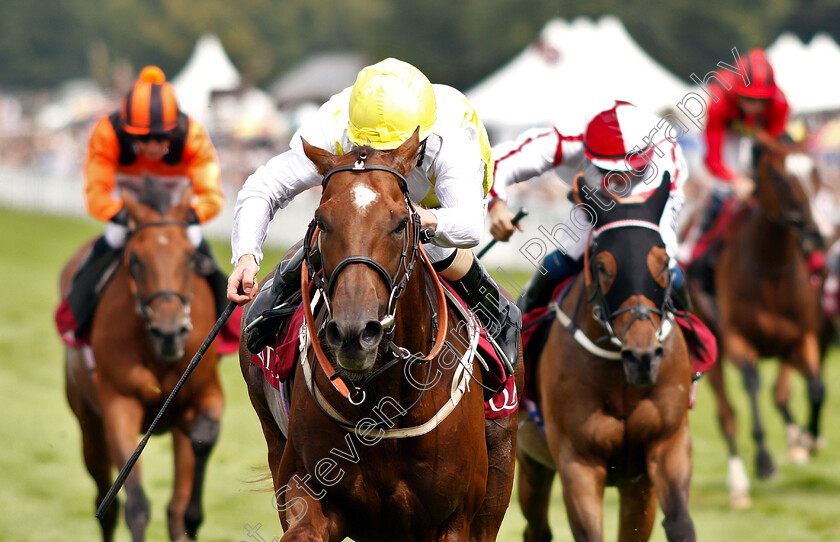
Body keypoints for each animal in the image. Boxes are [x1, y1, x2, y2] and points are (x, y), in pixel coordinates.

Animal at [61, 184, 223, 542]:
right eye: (135, 259)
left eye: (190, 258)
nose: (169, 331)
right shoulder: (119, 405)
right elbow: (135, 505)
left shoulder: (205, 393)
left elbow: (205, 436)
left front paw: (194, 517)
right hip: (89, 426)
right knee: (107, 504)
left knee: (174, 506)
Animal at [236, 133, 520, 542]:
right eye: (321, 221)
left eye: (401, 223)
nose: (355, 333)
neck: (387, 400)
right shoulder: (308, 491)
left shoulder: (454, 519)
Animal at [520, 173, 696, 542]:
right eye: (602, 266)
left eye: (664, 263)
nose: (642, 357)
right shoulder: (578, 462)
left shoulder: (665, 447)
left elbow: (680, 523)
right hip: (531, 459)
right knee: (536, 527)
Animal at [688, 144, 828, 510]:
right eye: (778, 176)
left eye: (815, 171)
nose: (818, 234)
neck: (770, 268)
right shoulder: (737, 339)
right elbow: (751, 383)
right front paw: (765, 461)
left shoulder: (802, 337)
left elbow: (817, 388)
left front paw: (809, 438)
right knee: (727, 416)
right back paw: (739, 485)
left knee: (781, 392)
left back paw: (797, 438)